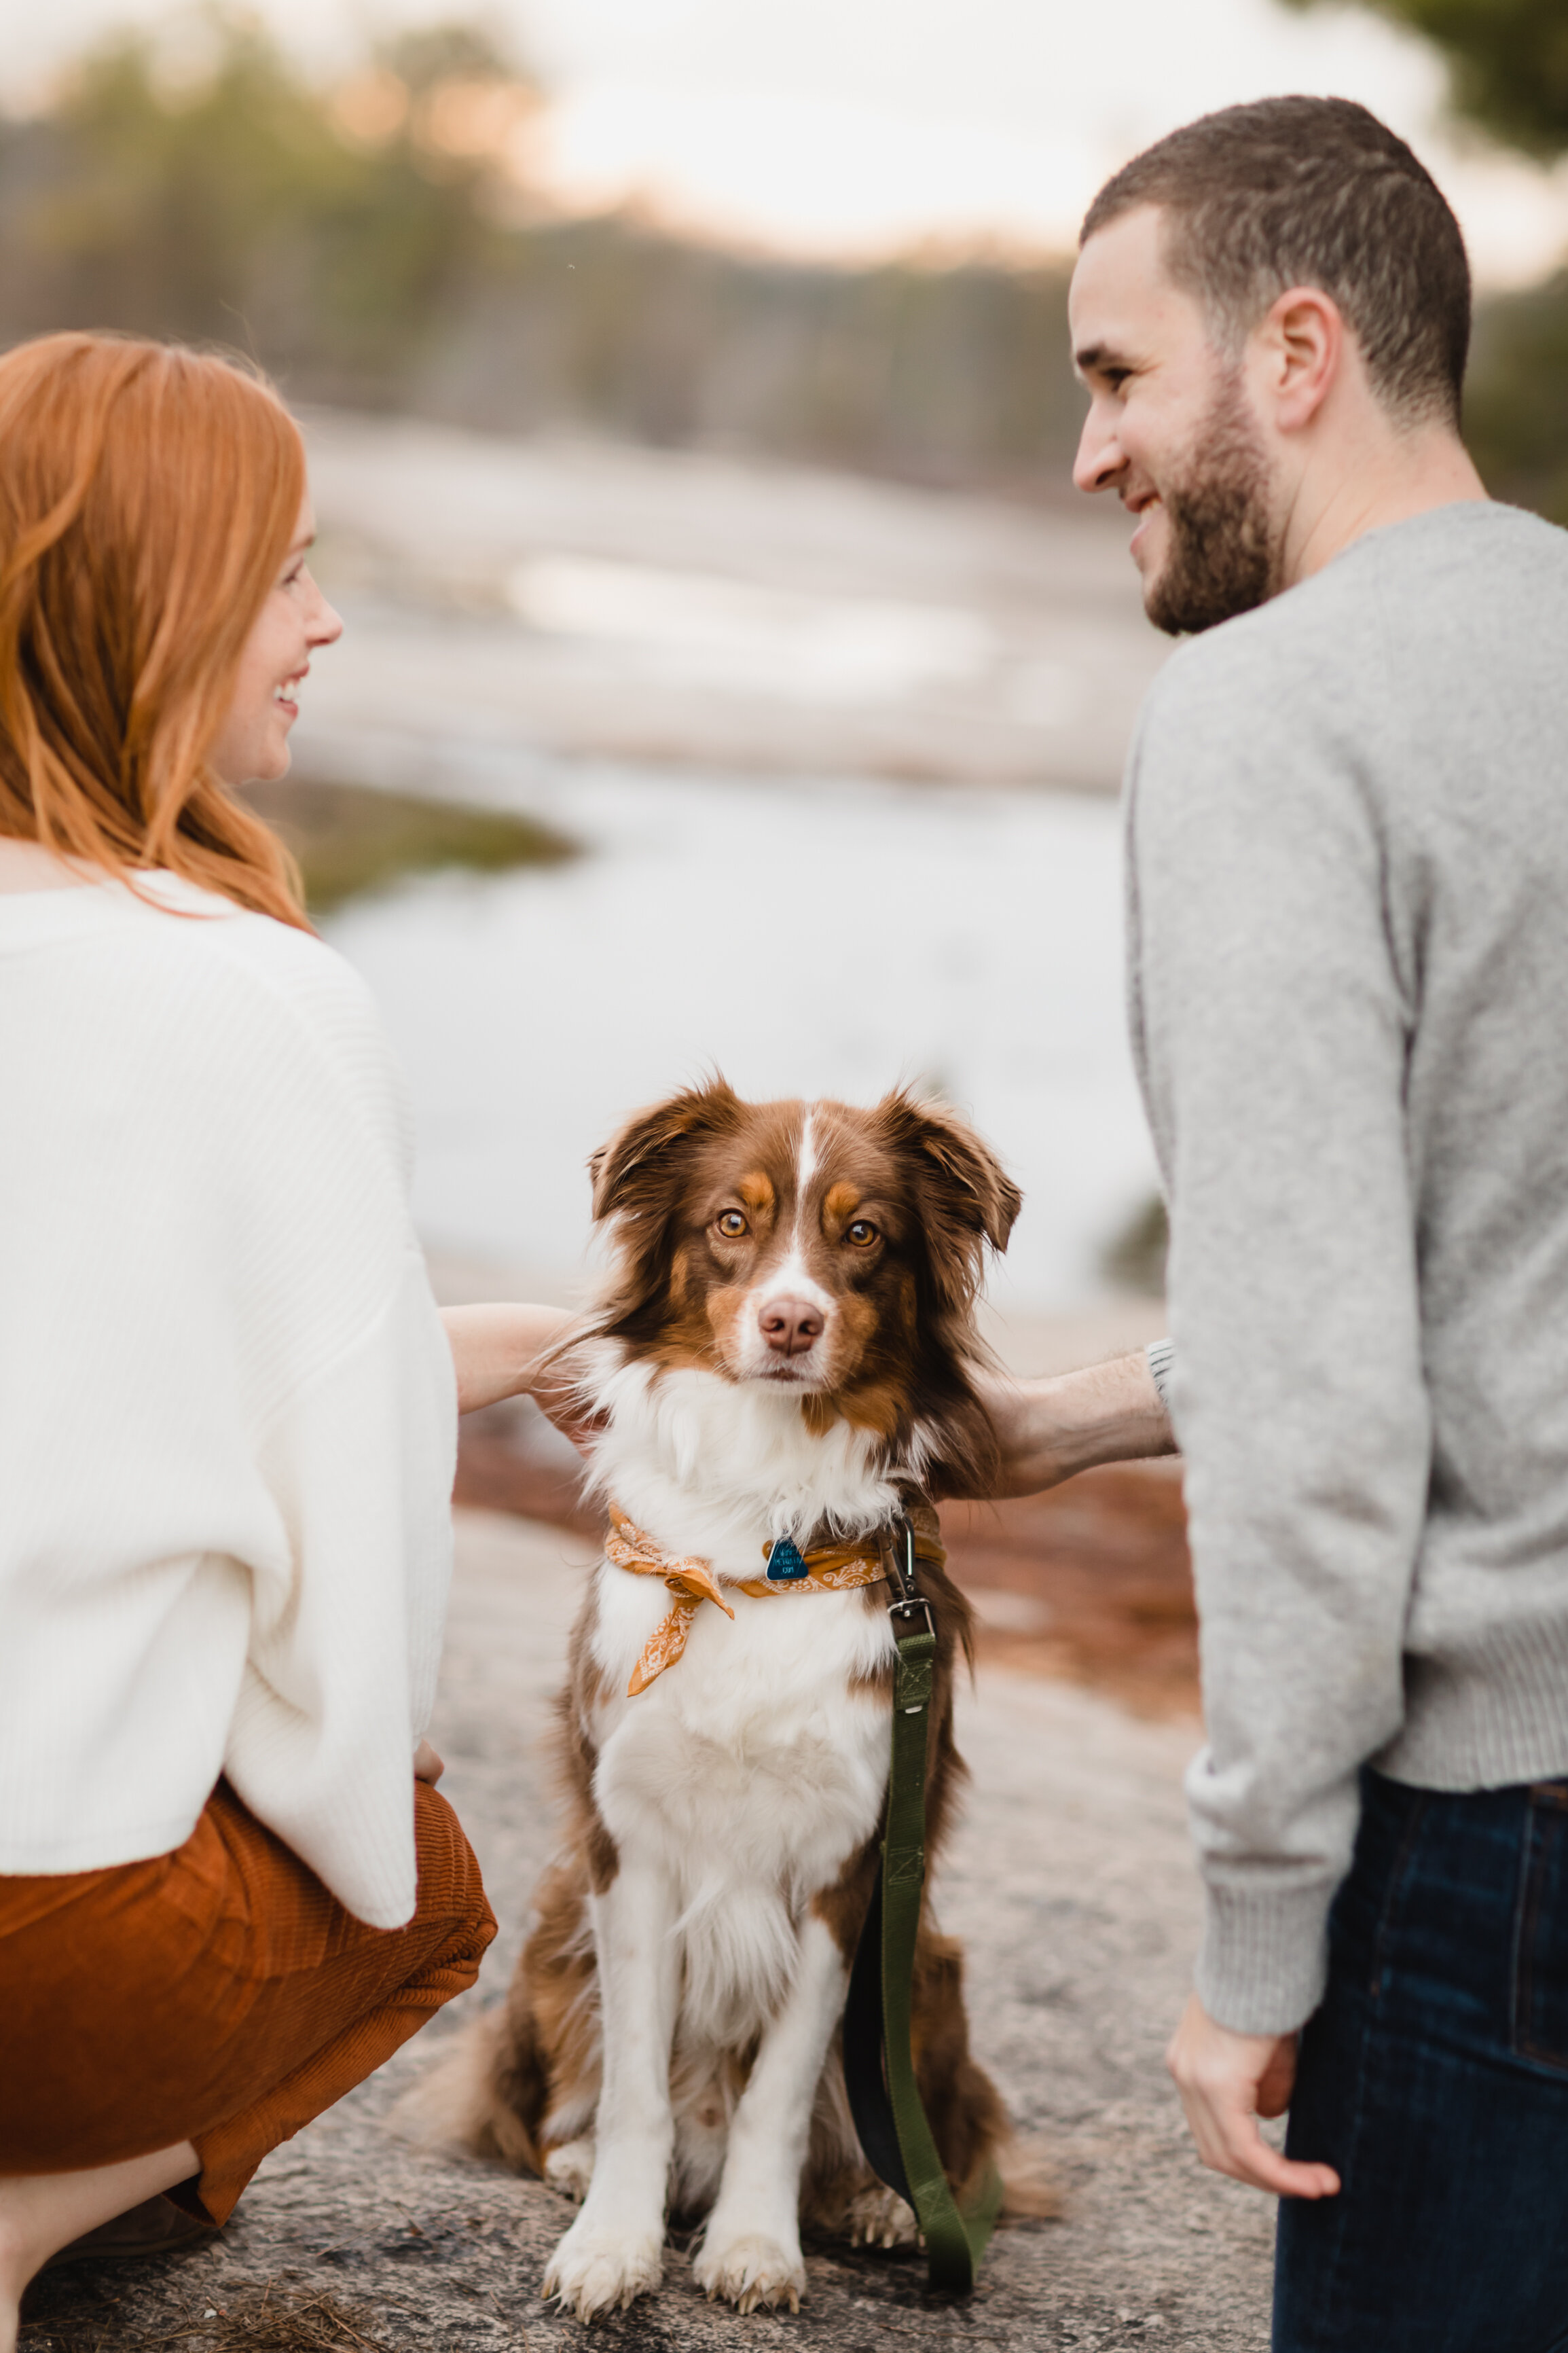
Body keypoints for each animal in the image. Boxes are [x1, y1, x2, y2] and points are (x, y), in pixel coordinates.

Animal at [439, 1077, 1044, 2315]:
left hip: (927, 1958)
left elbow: (782, 2086)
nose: (790, 1322)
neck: (765, 1541)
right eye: (731, 1220)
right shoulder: (629, 1844)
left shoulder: (849, 1866)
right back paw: (573, 2153)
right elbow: (635, 2077)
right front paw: (611, 2239)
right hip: (555, 1918)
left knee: (934, 2126)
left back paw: (882, 2201)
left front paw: (755, 2243)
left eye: (862, 1234)